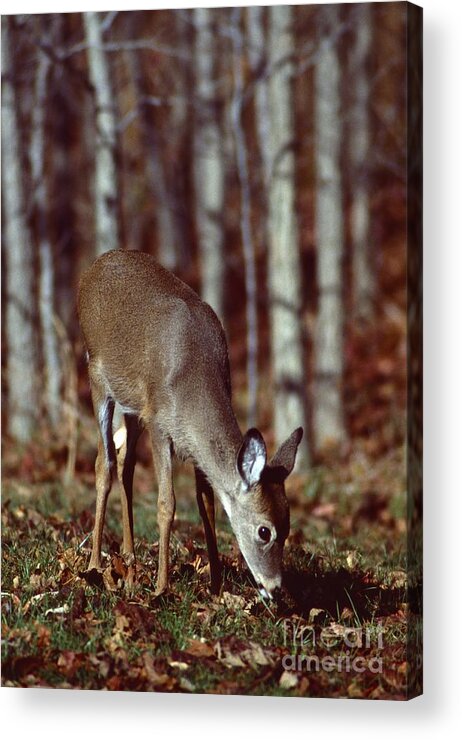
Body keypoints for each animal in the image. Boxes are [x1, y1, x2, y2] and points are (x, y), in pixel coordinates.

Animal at [78, 251, 304, 600]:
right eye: (264, 531)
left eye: (289, 525)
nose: (275, 588)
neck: (191, 380)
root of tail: (94, 267)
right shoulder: (160, 423)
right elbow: (166, 504)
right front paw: (161, 587)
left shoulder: (190, 442)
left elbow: (207, 504)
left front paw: (216, 586)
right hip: (98, 378)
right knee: (104, 463)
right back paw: (94, 568)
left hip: (133, 406)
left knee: (126, 466)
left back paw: (129, 565)